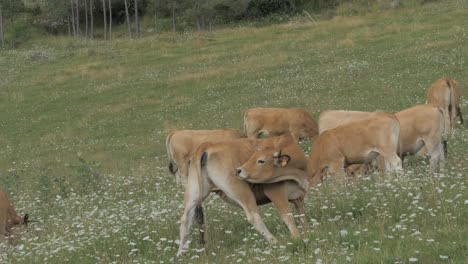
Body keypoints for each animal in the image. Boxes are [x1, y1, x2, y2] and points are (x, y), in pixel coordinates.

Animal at [176, 134, 310, 256]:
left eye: (260, 160)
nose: (239, 170)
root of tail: (208, 145)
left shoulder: (298, 197)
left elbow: (302, 215)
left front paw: (307, 232)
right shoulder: (275, 190)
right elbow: (287, 216)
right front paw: (297, 238)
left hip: (194, 190)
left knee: (185, 219)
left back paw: (180, 255)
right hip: (241, 189)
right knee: (253, 216)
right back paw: (275, 242)